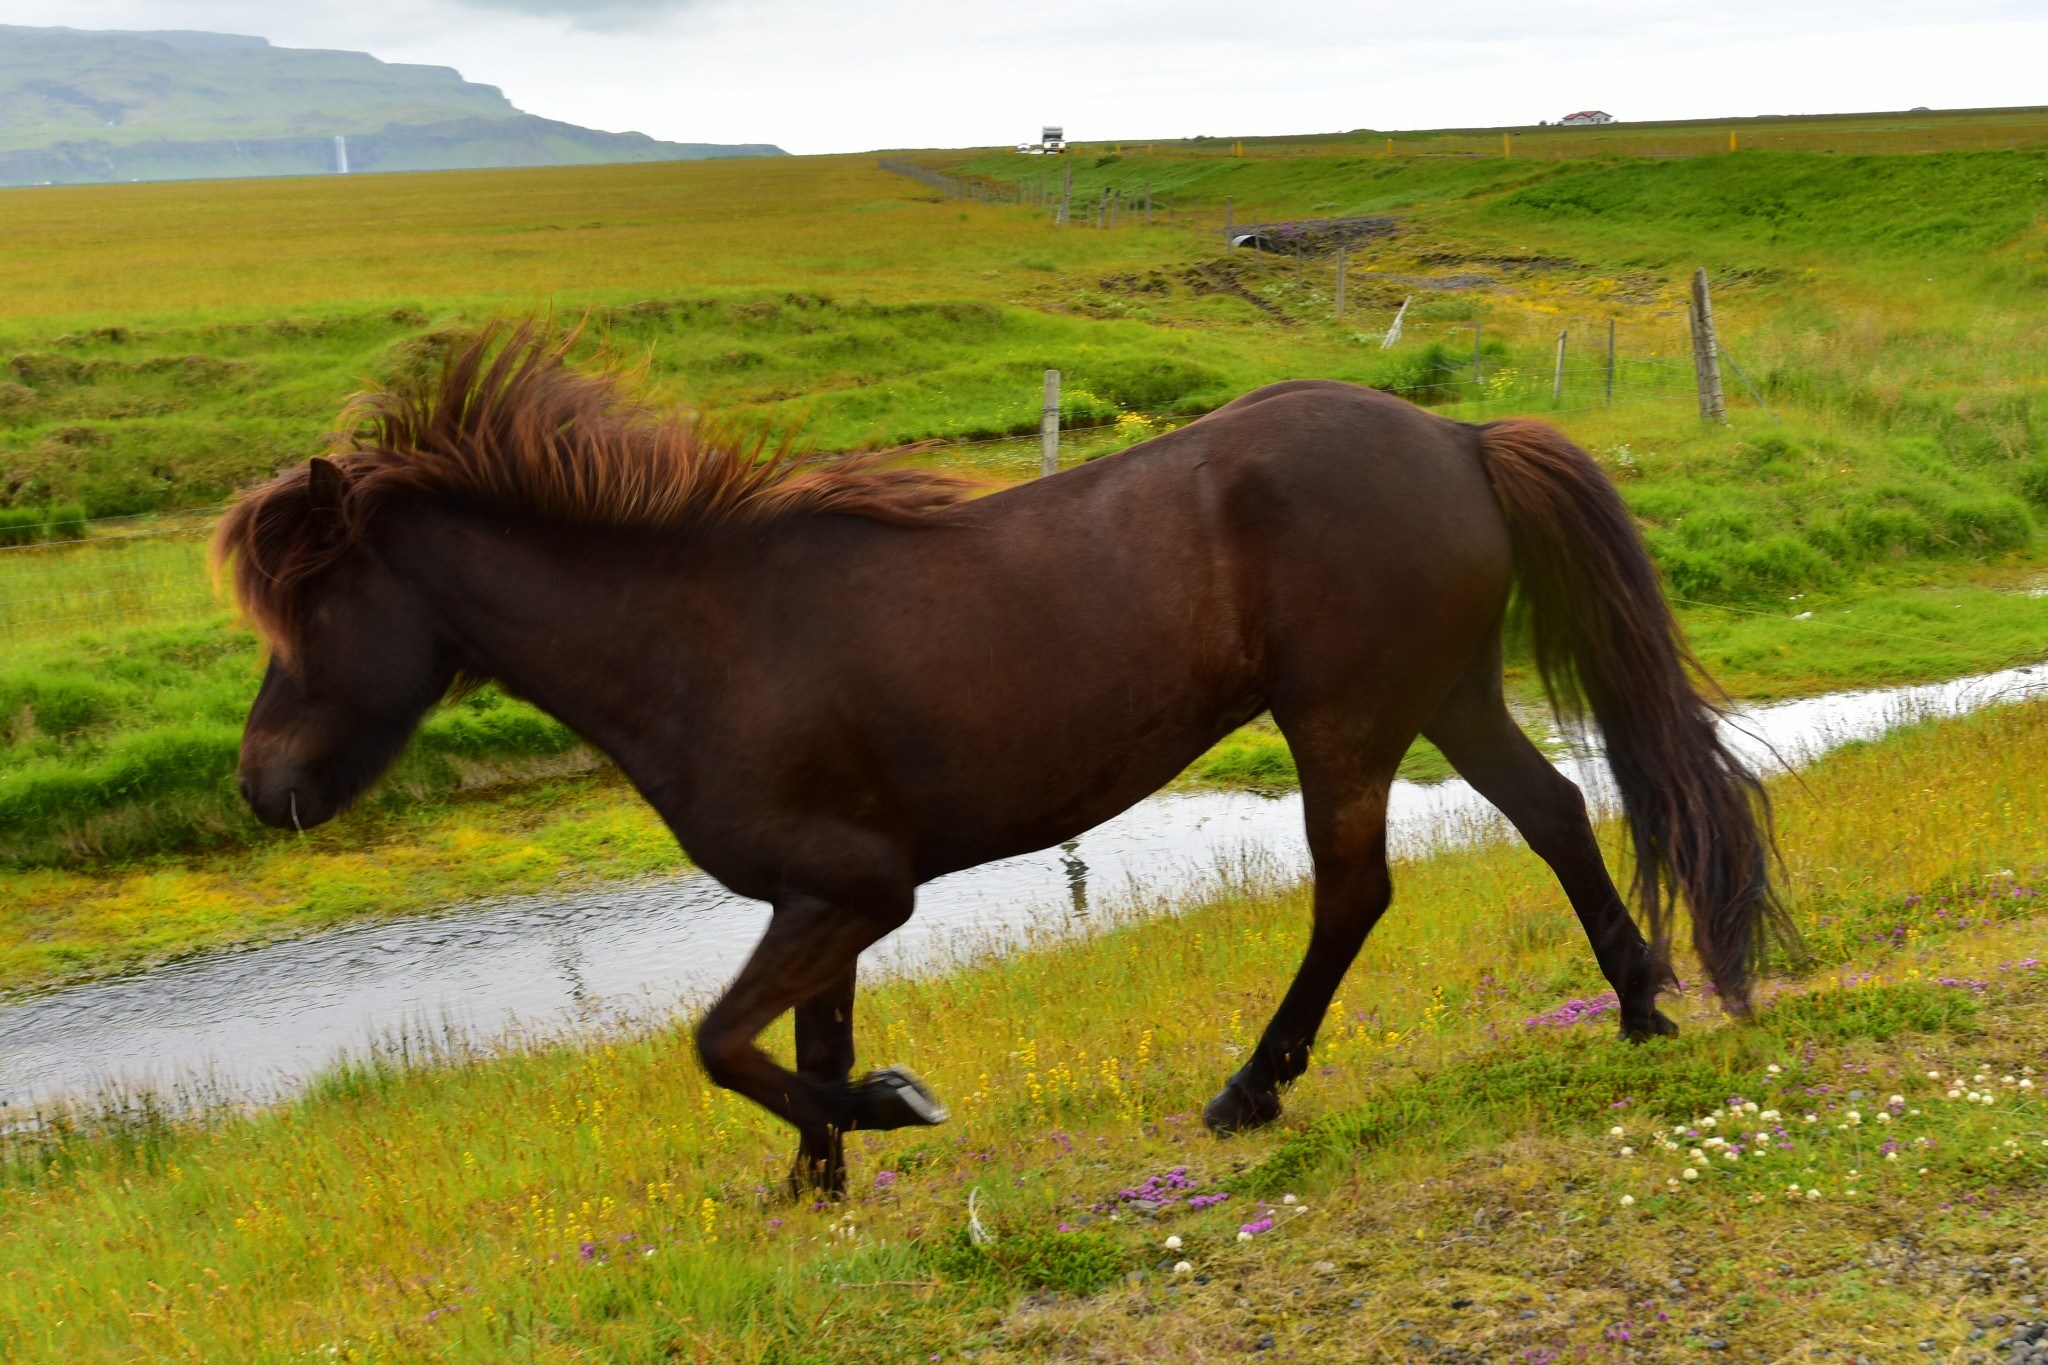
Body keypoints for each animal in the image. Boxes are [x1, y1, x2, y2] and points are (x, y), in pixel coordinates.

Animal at [220, 325, 1777, 1186]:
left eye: (305, 611)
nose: (259, 786)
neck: (700, 641)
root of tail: (1454, 434)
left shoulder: (853, 892)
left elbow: (726, 1042)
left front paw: (887, 1111)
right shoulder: (820, 905)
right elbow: (800, 1038)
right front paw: (819, 1184)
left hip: (1342, 717)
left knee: (1354, 892)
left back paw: (1251, 1090)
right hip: (1443, 692)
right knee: (1556, 811)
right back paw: (1640, 1006)